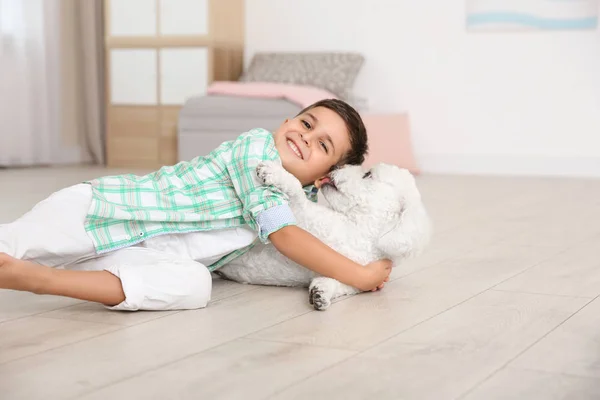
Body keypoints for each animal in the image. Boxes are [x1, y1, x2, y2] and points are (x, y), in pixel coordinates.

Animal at [217, 160, 432, 310]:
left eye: (368, 174)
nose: (336, 165)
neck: (362, 232)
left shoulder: (356, 273)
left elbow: (342, 283)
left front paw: (321, 292)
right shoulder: (310, 220)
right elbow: (297, 192)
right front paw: (274, 172)